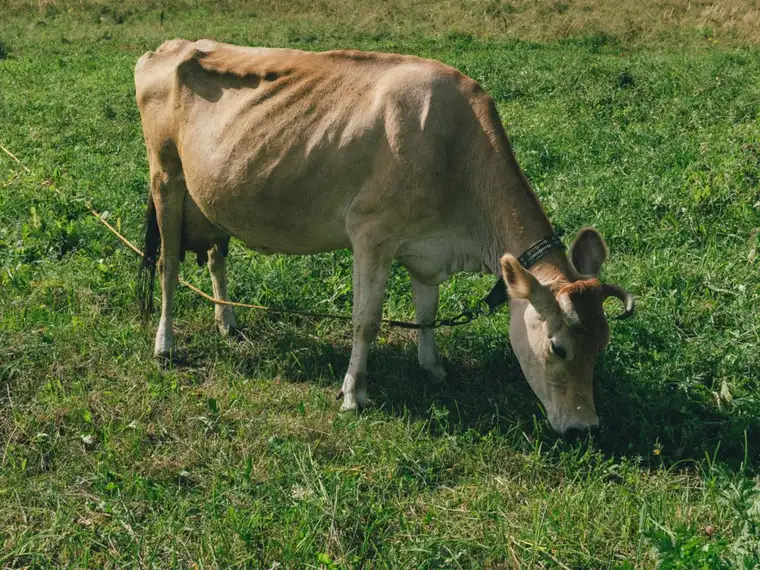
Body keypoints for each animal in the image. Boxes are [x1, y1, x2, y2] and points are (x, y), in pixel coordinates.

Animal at [134, 39, 634, 436]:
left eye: (603, 344)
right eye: (558, 348)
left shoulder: (428, 250)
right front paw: (353, 394)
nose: (585, 428)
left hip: (210, 196)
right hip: (166, 178)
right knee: (169, 265)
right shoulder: (371, 235)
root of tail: (172, 46)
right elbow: (366, 321)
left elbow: (427, 313)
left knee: (215, 257)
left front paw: (433, 368)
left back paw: (229, 322)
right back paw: (165, 345)